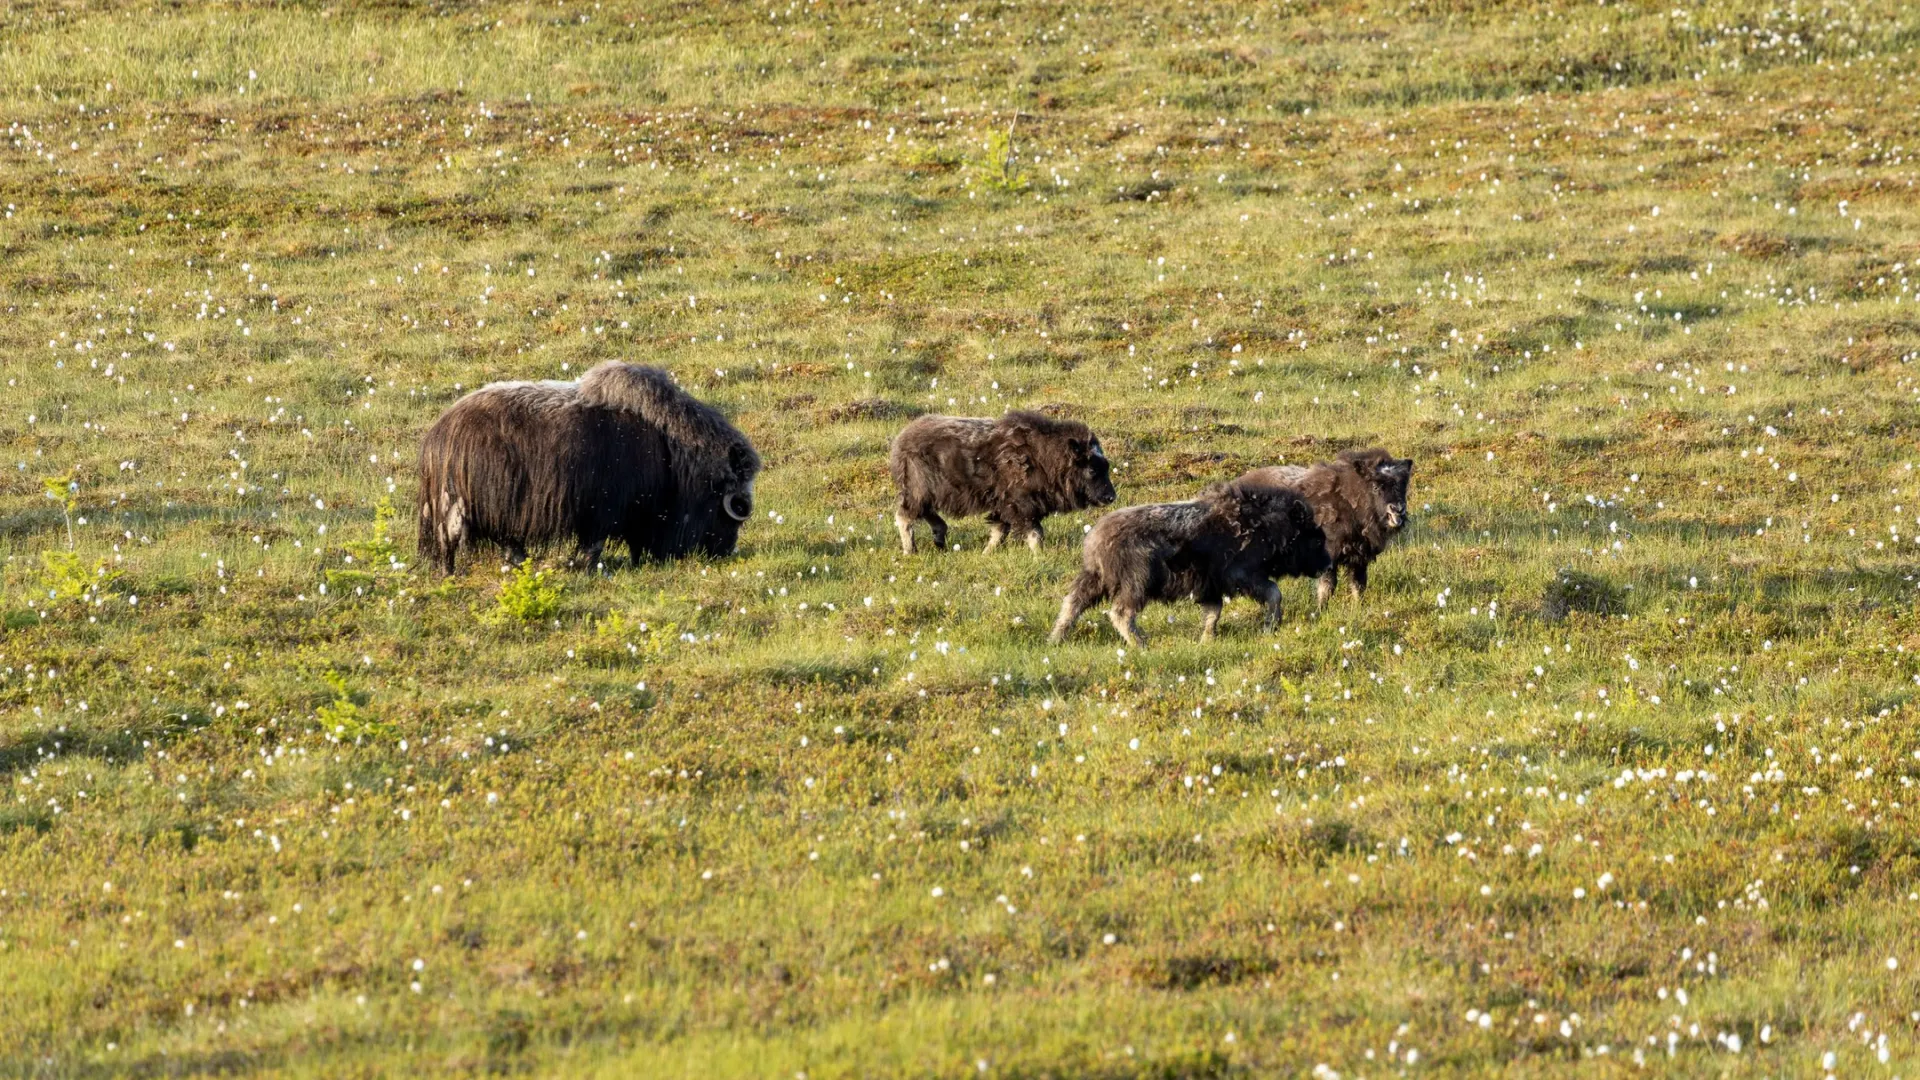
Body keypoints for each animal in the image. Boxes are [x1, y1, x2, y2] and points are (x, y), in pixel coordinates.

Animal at [416, 359, 760, 572]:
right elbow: (593, 544)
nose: (724, 551)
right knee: (455, 544)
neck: (672, 452)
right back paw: (452, 573)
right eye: (735, 506)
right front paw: (585, 566)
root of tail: (438, 434)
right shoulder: (603, 509)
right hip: (462, 507)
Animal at [890, 407, 1121, 549]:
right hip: (918, 490)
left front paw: (986, 553)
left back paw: (939, 541)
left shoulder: (1005, 506)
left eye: (1106, 467)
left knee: (929, 515)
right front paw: (1039, 555)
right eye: (1092, 470)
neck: (1045, 457)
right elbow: (1034, 533)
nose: (1111, 497)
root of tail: (901, 440)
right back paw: (910, 550)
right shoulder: (1021, 505)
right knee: (906, 516)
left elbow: (999, 530)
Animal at [1052, 480, 1336, 645]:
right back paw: (1141, 643)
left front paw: (1206, 640)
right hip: (1137, 582)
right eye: (1316, 539)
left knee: (1072, 604)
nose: (1327, 565)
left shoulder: (1210, 587)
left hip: (1094, 580)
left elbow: (1213, 613)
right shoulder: (1242, 575)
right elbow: (1274, 593)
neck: (1268, 526)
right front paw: (1270, 626)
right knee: (1121, 613)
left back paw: (1055, 639)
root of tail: (1095, 540)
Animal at [1244, 441, 1413, 599]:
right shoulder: (1330, 553)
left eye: (1403, 485)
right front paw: (1321, 607)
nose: (1398, 509)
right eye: (1376, 487)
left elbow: (1358, 584)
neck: (1349, 500)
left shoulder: (1360, 556)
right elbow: (1328, 585)